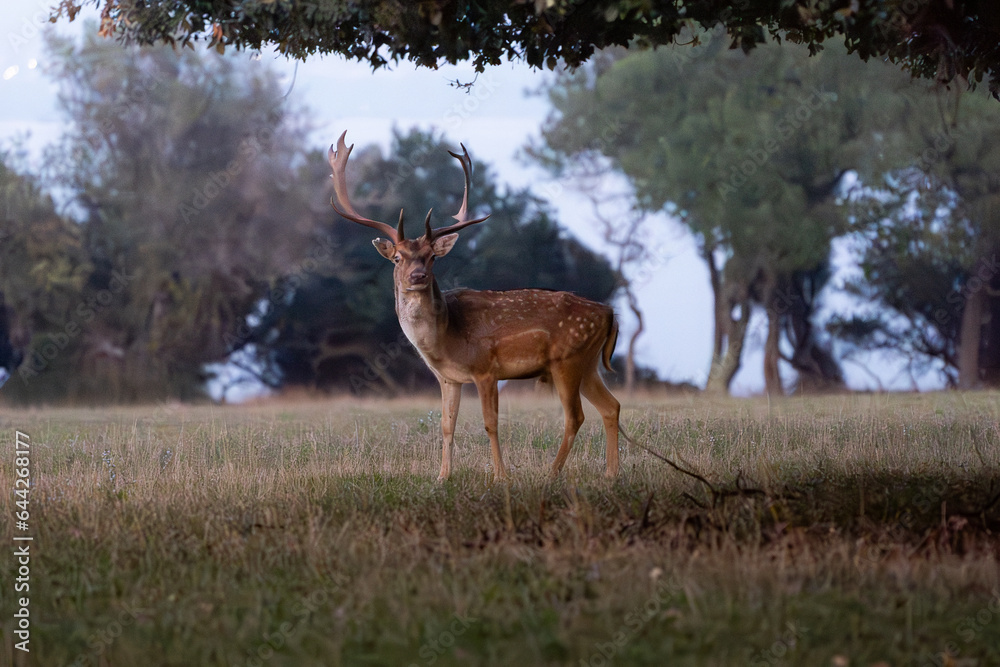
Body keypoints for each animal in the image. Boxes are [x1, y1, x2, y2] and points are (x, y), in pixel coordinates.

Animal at [328, 131, 621, 481]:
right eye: (398, 257)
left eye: (432, 256)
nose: (418, 276)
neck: (446, 338)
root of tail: (609, 313)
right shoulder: (448, 378)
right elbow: (446, 425)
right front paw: (442, 476)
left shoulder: (485, 368)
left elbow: (490, 423)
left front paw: (501, 476)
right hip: (587, 364)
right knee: (611, 406)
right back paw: (610, 474)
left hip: (567, 359)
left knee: (575, 416)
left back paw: (552, 473)